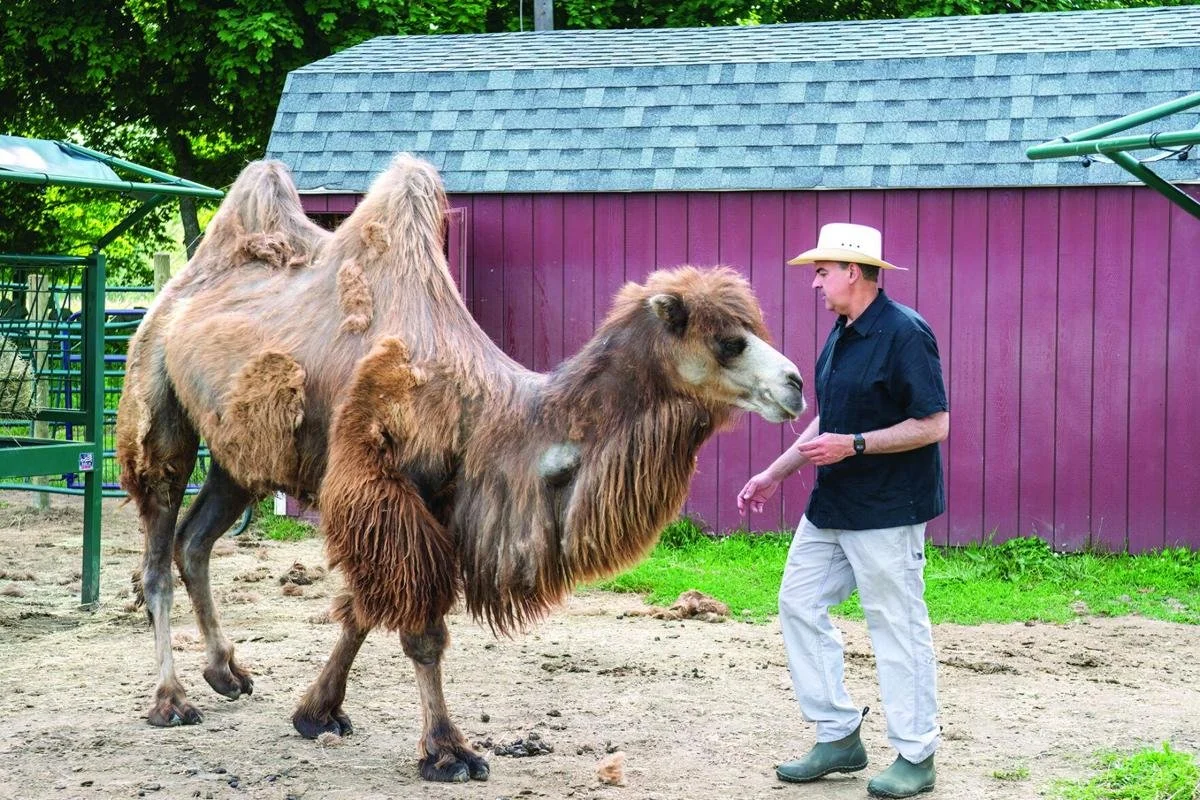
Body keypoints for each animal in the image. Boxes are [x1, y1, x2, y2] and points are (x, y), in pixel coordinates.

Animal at [116, 153, 806, 782]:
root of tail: (174, 294)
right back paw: (171, 700)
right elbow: (420, 628)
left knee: (195, 540)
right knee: (157, 548)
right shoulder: (384, 484)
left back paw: (225, 672)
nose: (796, 385)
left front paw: (317, 712)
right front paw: (448, 750)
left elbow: (363, 609)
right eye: (728, 342)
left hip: (238, 456)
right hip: (156, 402)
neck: (487, 416)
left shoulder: (434, 501)